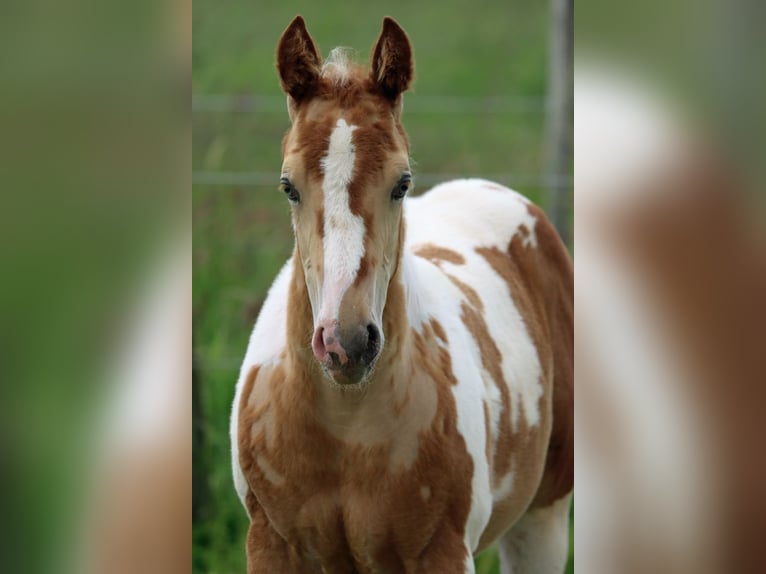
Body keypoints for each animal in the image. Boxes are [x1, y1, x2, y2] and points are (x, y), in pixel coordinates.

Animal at [234, 15, 576, 572]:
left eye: (402, 183)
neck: (345, 431)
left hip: (542, 518)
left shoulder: (444, 552)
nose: (347, 343)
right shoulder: (270, 545)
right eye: (288, 186)